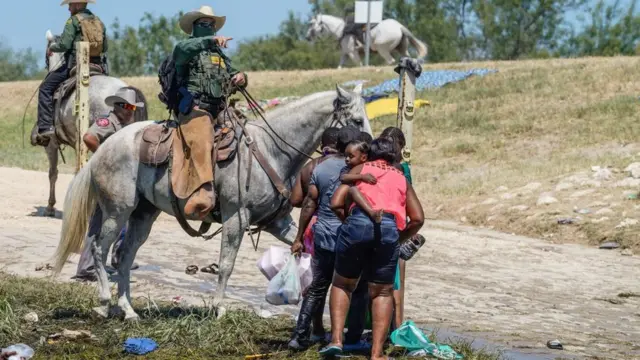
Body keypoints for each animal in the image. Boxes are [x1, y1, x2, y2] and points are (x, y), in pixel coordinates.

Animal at [52, 83, 372, 320]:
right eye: (357, 120)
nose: (368, 152)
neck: (271, 150)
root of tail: (106, 146)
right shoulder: (236, 217)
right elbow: (226, 264)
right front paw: (218, 308)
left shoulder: (278, 223)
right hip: (117, 211)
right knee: (99, 248)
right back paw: (106, 301)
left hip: (143, 214)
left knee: (125, 254)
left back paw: (129, 310)